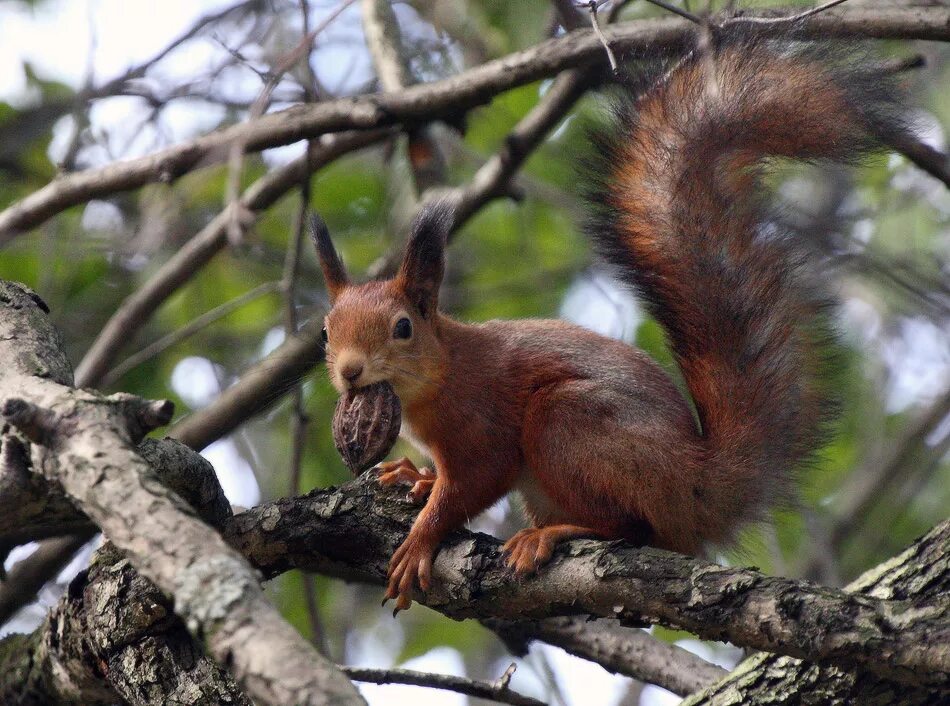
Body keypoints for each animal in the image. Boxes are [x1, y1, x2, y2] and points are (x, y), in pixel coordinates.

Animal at [310, 33, 908, 608]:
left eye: (403, 327)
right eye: (325, 331)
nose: (350, 371)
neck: (437, 379)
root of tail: (697, 488)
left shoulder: (483, 422)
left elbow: (474, 482)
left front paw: (421, 539)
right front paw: (415, 474)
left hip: (571, 424)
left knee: (629, 526)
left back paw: (552, 535)